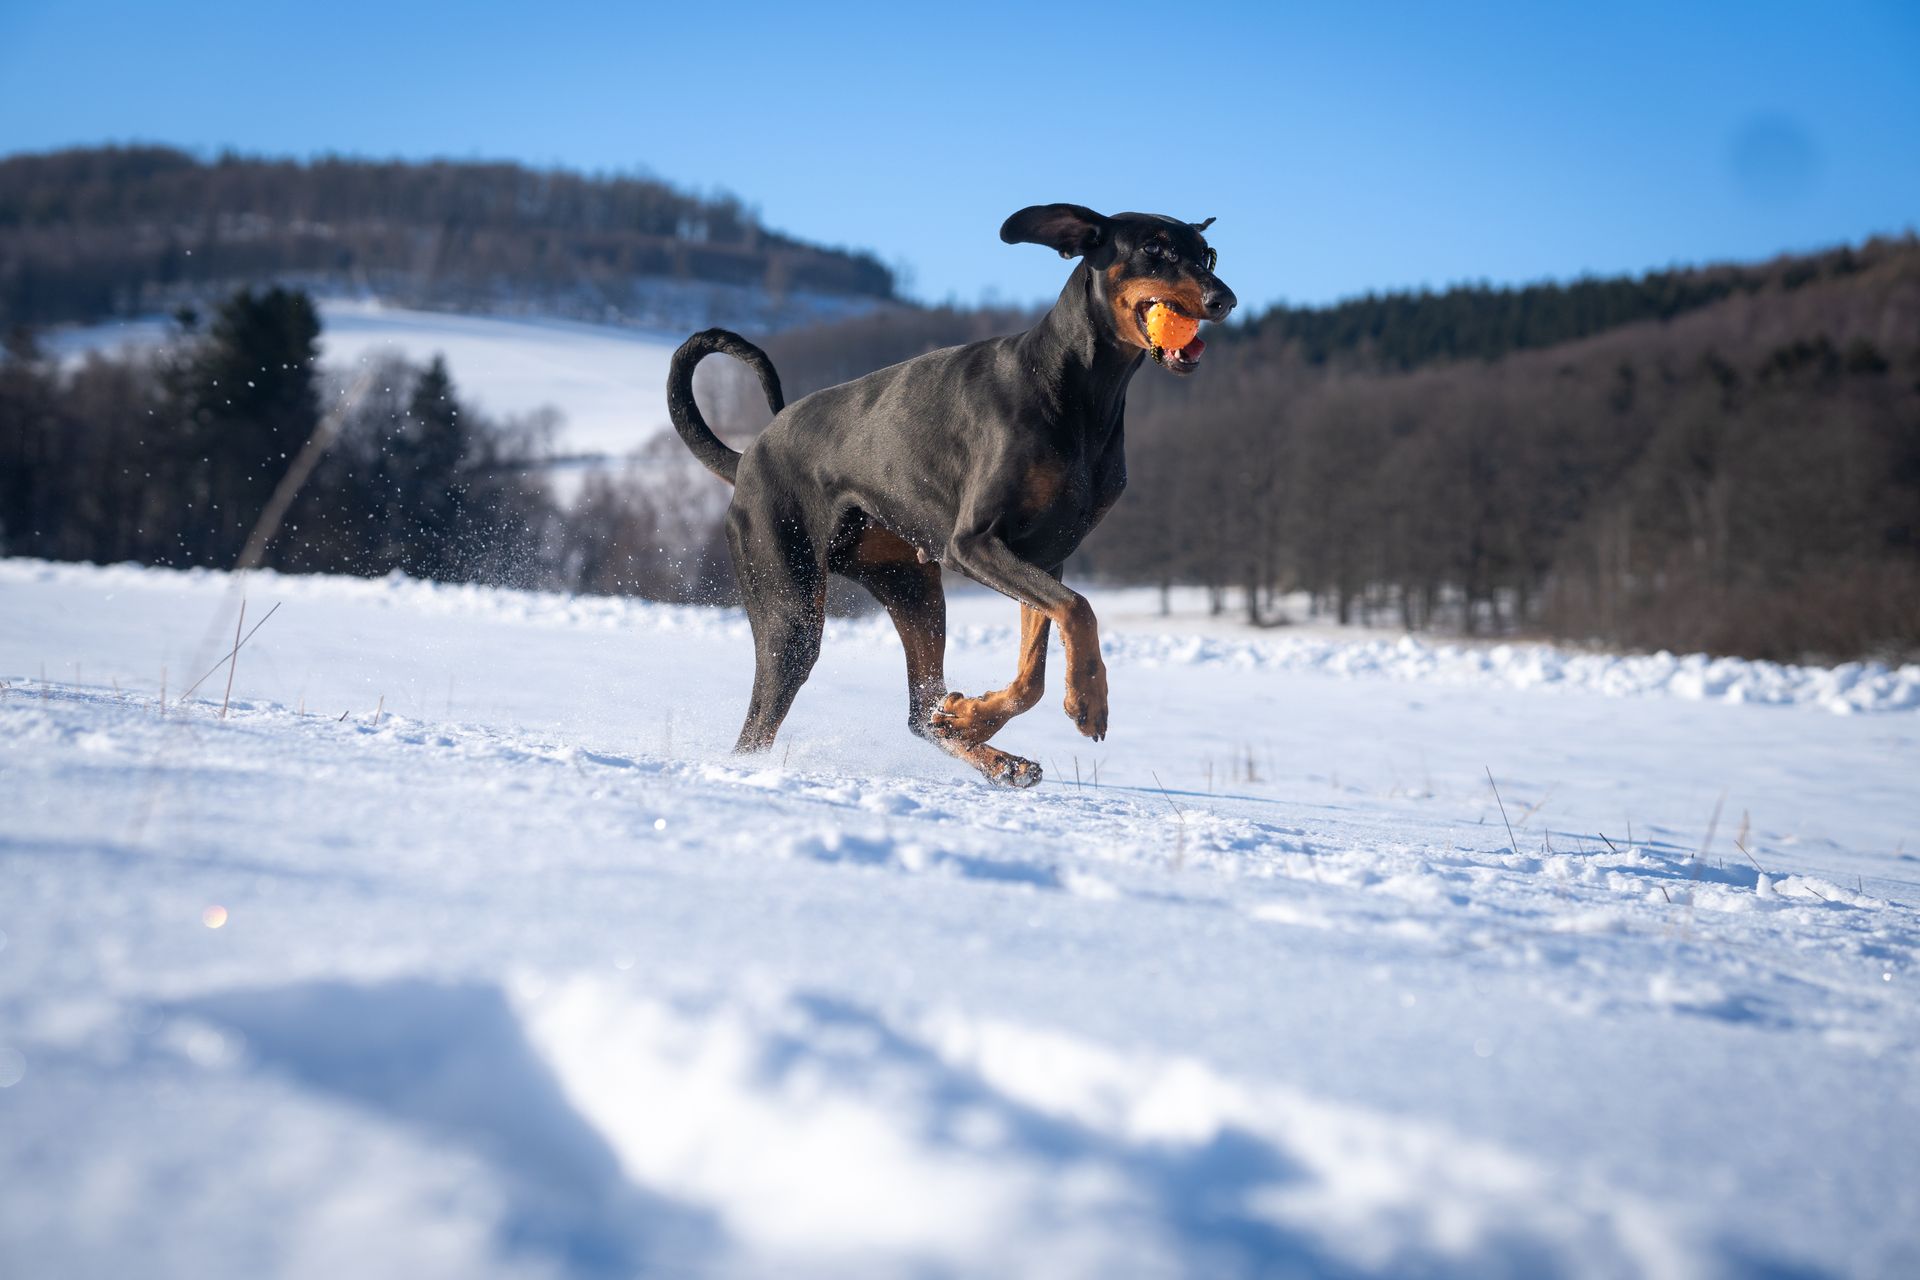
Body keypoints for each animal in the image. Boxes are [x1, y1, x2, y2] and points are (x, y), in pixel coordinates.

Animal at [666, 203, 1234, 786]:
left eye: (1208, 255)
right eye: (1155, 249)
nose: (1225, 300)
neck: (1082, 388)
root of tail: (746, 458)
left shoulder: (1045, 557)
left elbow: (1035, 669)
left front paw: (971, 717)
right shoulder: (974, 544)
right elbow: (1079, 609)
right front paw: (1089, 700)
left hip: (912, 587)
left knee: (920, 710)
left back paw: (992, 755)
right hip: (791, 607)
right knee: (759, 722)